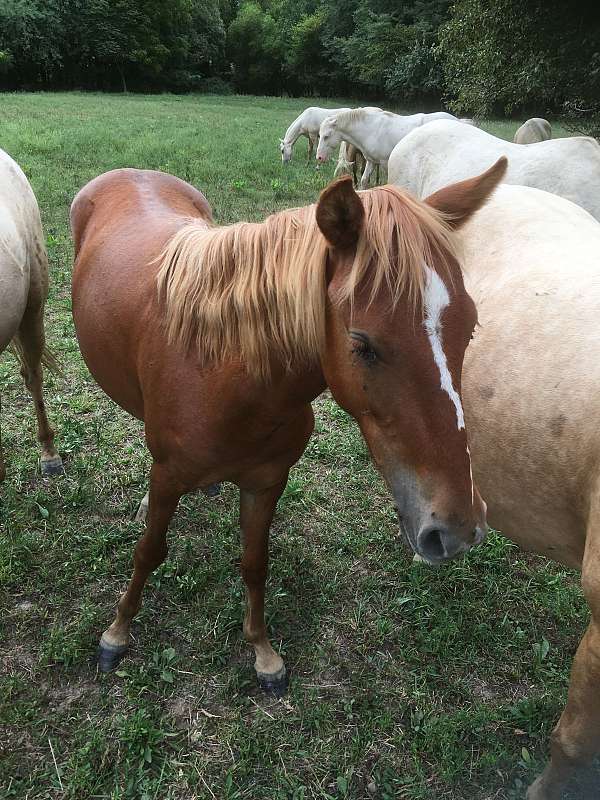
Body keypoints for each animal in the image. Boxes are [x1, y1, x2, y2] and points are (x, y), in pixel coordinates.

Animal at [68, 161, 504, 692]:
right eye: (362, 344)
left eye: (471, 326)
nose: (458, 527)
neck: (226, 373)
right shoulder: (169, 475)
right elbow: (149, 552)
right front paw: (117, 632)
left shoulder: (267, 481)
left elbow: (255, 563)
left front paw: (263, 652)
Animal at [316, 108, 458, 189]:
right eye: (320, 135)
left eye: (326, 136)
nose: (319, 157)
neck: (371, 129)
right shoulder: (372, 161)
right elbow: (364, 181)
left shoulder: (385, 163)